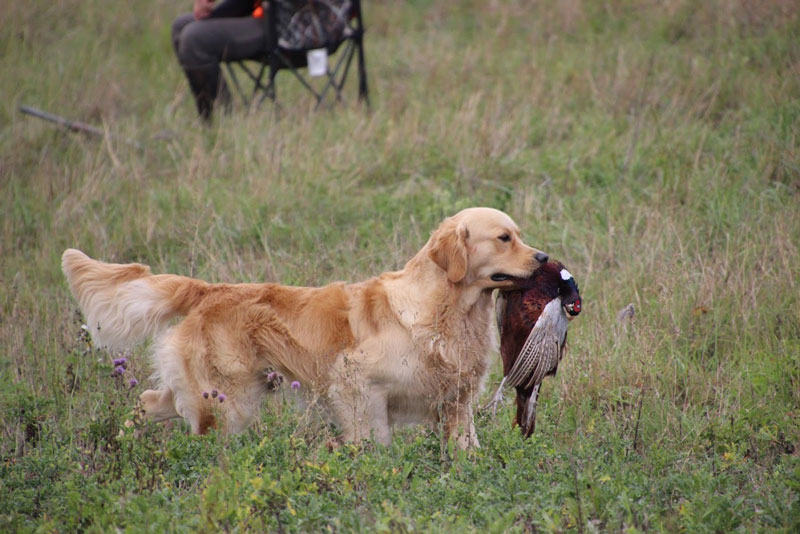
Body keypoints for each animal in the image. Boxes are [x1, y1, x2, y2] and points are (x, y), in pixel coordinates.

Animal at [62, 207, 552, 450]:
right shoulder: (355, 385)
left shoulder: (456, 400)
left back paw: (123, 442)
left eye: (519, 234)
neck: (441, 306)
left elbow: (468, 448)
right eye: (504, 238)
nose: (545, 257)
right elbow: (375, 442)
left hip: (211, 390)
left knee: (148, 401)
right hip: (228, 400)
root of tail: (208, 290)